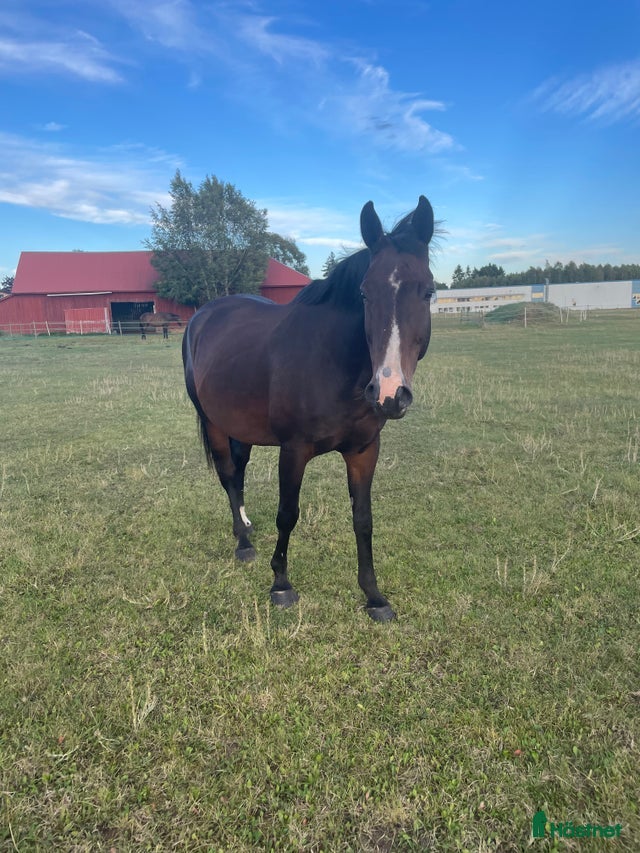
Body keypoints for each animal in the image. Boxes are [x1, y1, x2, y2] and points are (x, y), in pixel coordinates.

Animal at [182, 196, 435, 621]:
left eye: (429, 291)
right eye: (364, 293)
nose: (388, 393)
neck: (335, 364)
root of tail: (203, 315)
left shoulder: (364, 451)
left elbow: (363, 519)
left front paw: (374, 596)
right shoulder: (293, 450)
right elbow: (288, 513)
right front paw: (281, 585)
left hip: (239, 426)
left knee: (238, 472)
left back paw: (246, 526)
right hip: (212, 421)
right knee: (228, 475)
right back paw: (243, 544)